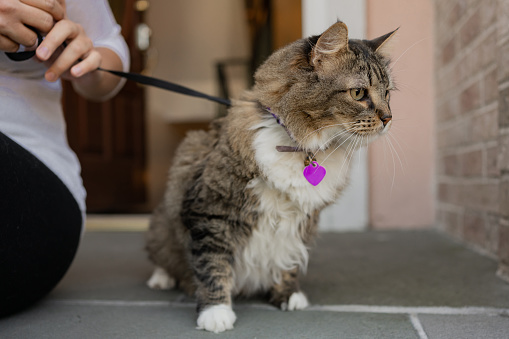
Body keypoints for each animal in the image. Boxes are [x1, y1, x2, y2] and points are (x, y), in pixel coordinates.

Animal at [145, 19, 394, 334]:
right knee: (161, 255)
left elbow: (288, 259)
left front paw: (287, 295)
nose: (389, 118)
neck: (300, 146)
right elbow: (213, 265)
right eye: (359, 93)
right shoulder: (211, 210)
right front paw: (216, 312)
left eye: (388, 94)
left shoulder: (301, 220)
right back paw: (161, 279)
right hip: (163, 221)